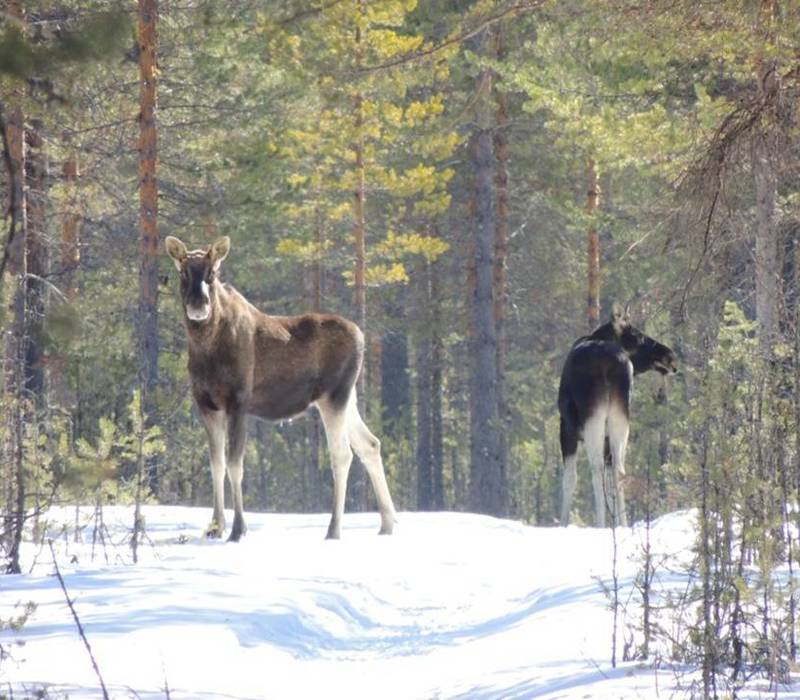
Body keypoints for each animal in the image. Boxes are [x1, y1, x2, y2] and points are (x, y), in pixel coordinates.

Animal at [166, 235, 396, 540]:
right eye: (182, 271)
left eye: (212, 272)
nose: (198, 304)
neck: (205, 347)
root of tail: (361, 337)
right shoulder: (206, 403)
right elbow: (216, 465)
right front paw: (215, 527)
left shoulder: (238, 401)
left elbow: (235, 465)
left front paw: (238, 529)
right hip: (349, 399)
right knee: (370, 444)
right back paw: (387, 523)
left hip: (333, 397)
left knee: (342, 455)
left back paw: (334, 529)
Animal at [560, 304, 680, 528]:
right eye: (639, 337)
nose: (670, 356)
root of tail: (609, 363)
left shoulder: (566, 427)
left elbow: (570, 479)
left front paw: (562, 522)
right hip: (620, 416)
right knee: (619, 470)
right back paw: (622, 524)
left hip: (594, 418)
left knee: (597, 469)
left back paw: (600, 523)